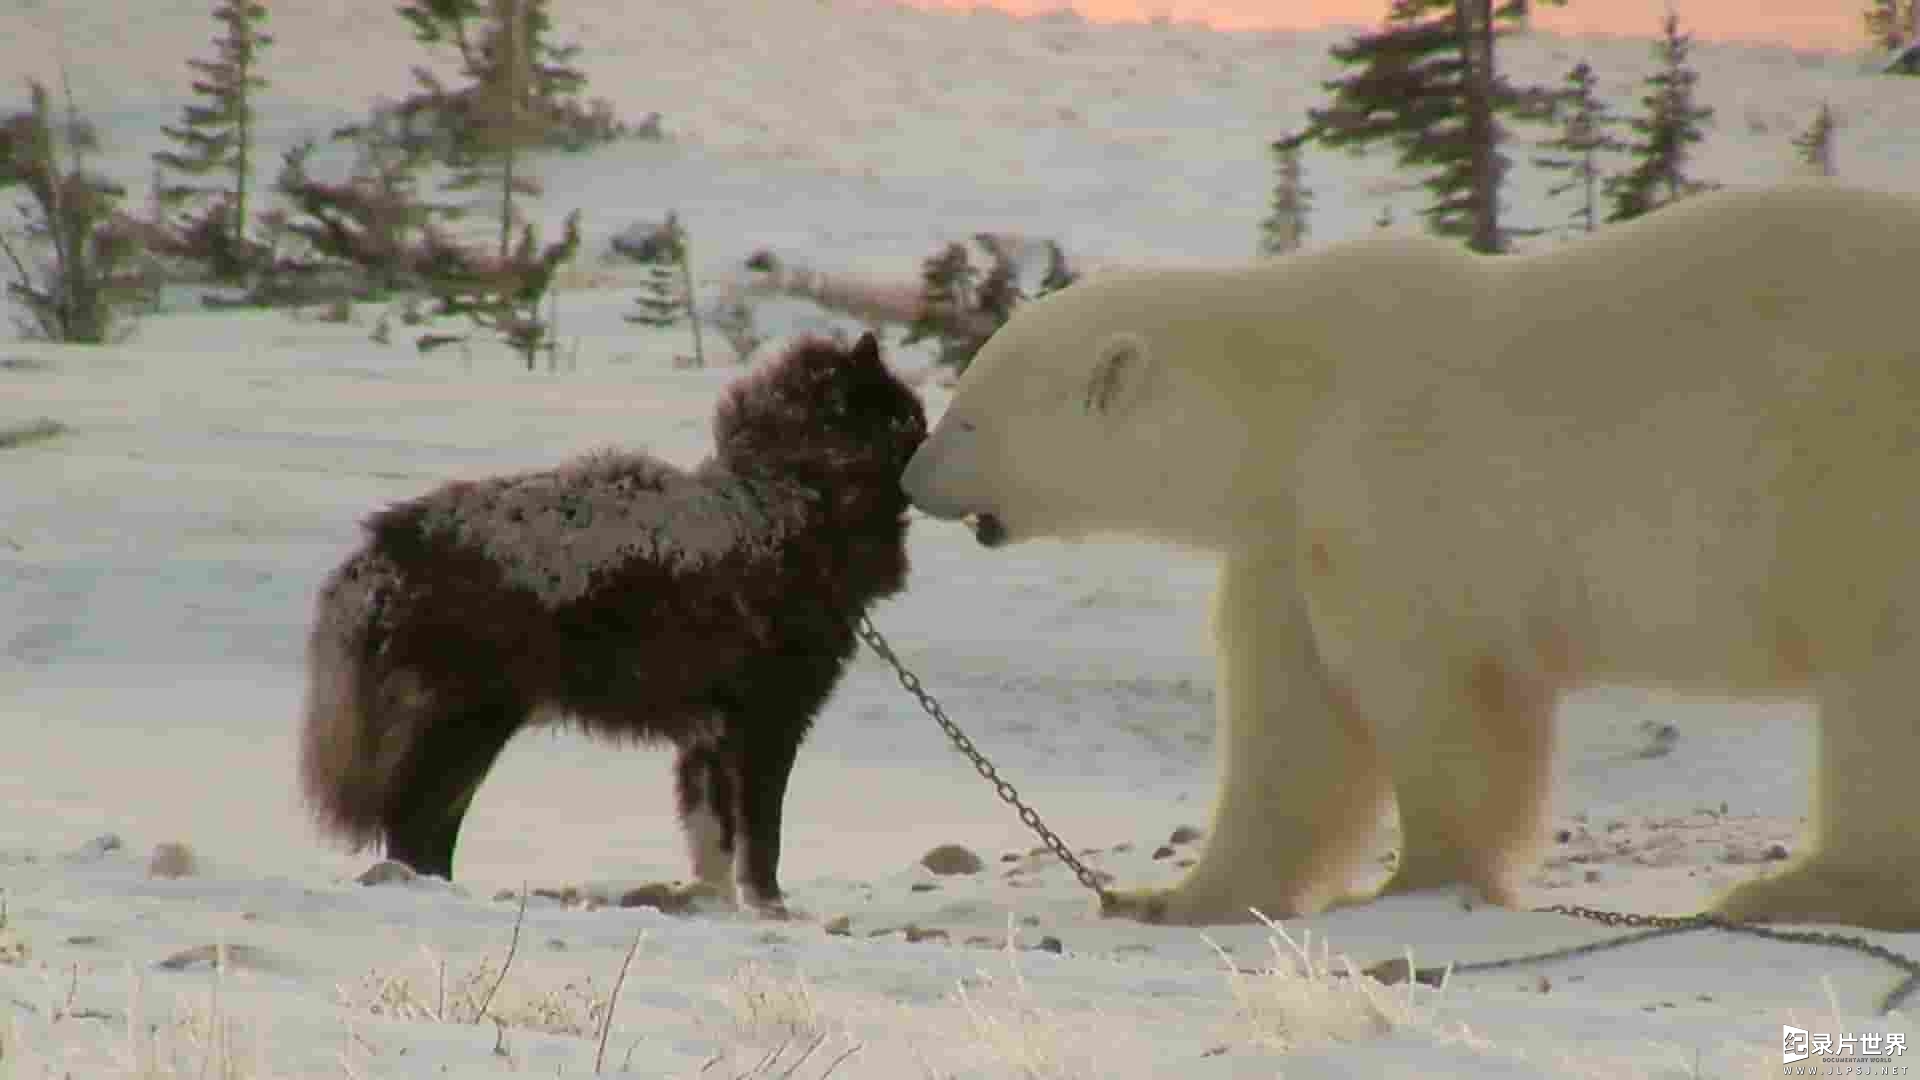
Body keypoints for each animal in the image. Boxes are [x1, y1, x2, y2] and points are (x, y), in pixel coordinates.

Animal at [295, 332, 925, 910]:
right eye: (906, 414)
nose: (930, 432)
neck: (790, 497)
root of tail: (382, 548)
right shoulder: (768, 721)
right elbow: (761, 839)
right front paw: (770, 908)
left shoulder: (709, 737)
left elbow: (713, 841)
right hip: (466, 722)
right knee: (414, 825)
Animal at [906, 182, 1920, 926]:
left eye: (968, 416)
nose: (912, 480)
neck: (1295, 393)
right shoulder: (1290, 532)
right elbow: (1293, 721)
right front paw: (1178, 899)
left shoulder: (1390, 491)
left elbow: (1438, 695)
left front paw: (1419, 882)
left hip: (1856, 480)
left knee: (1878, 696)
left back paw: (1803, 890)